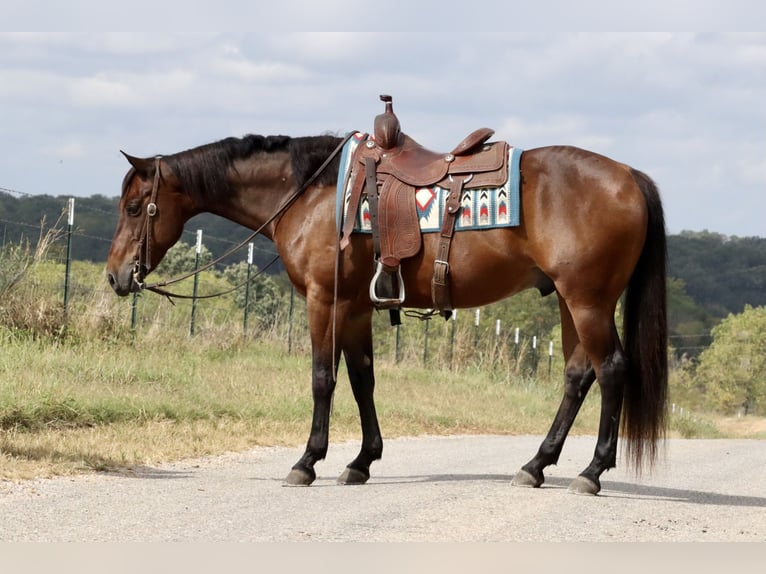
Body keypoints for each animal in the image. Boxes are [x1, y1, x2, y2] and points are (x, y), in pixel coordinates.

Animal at [105, 124, 668, 498]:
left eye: (135, 208)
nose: (115, 276)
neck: (313, 193)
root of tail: (629, 175)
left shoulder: (325, 300)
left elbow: (323, 378)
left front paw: (308, 461)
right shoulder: (356, 307)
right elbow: (362, 379)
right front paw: (361, 461)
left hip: (588, 301)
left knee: (611, 370)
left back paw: (591, 472)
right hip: (573, 303)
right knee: (578, 375)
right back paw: (536, 465)